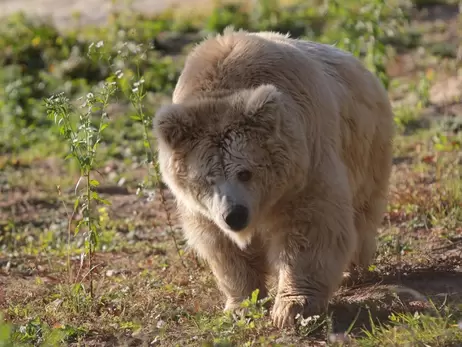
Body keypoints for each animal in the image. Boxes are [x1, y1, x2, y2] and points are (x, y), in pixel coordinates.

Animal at [152, 27, 394, 328]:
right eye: (207, 178)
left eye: (245, 172)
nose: (235, 215)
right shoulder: (203, 209)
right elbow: (223, 247)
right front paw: (241, 305)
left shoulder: (305, 167)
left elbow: (311, 228)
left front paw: (293, 307)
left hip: (365, 148)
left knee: (362, 212)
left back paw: (353, 269)